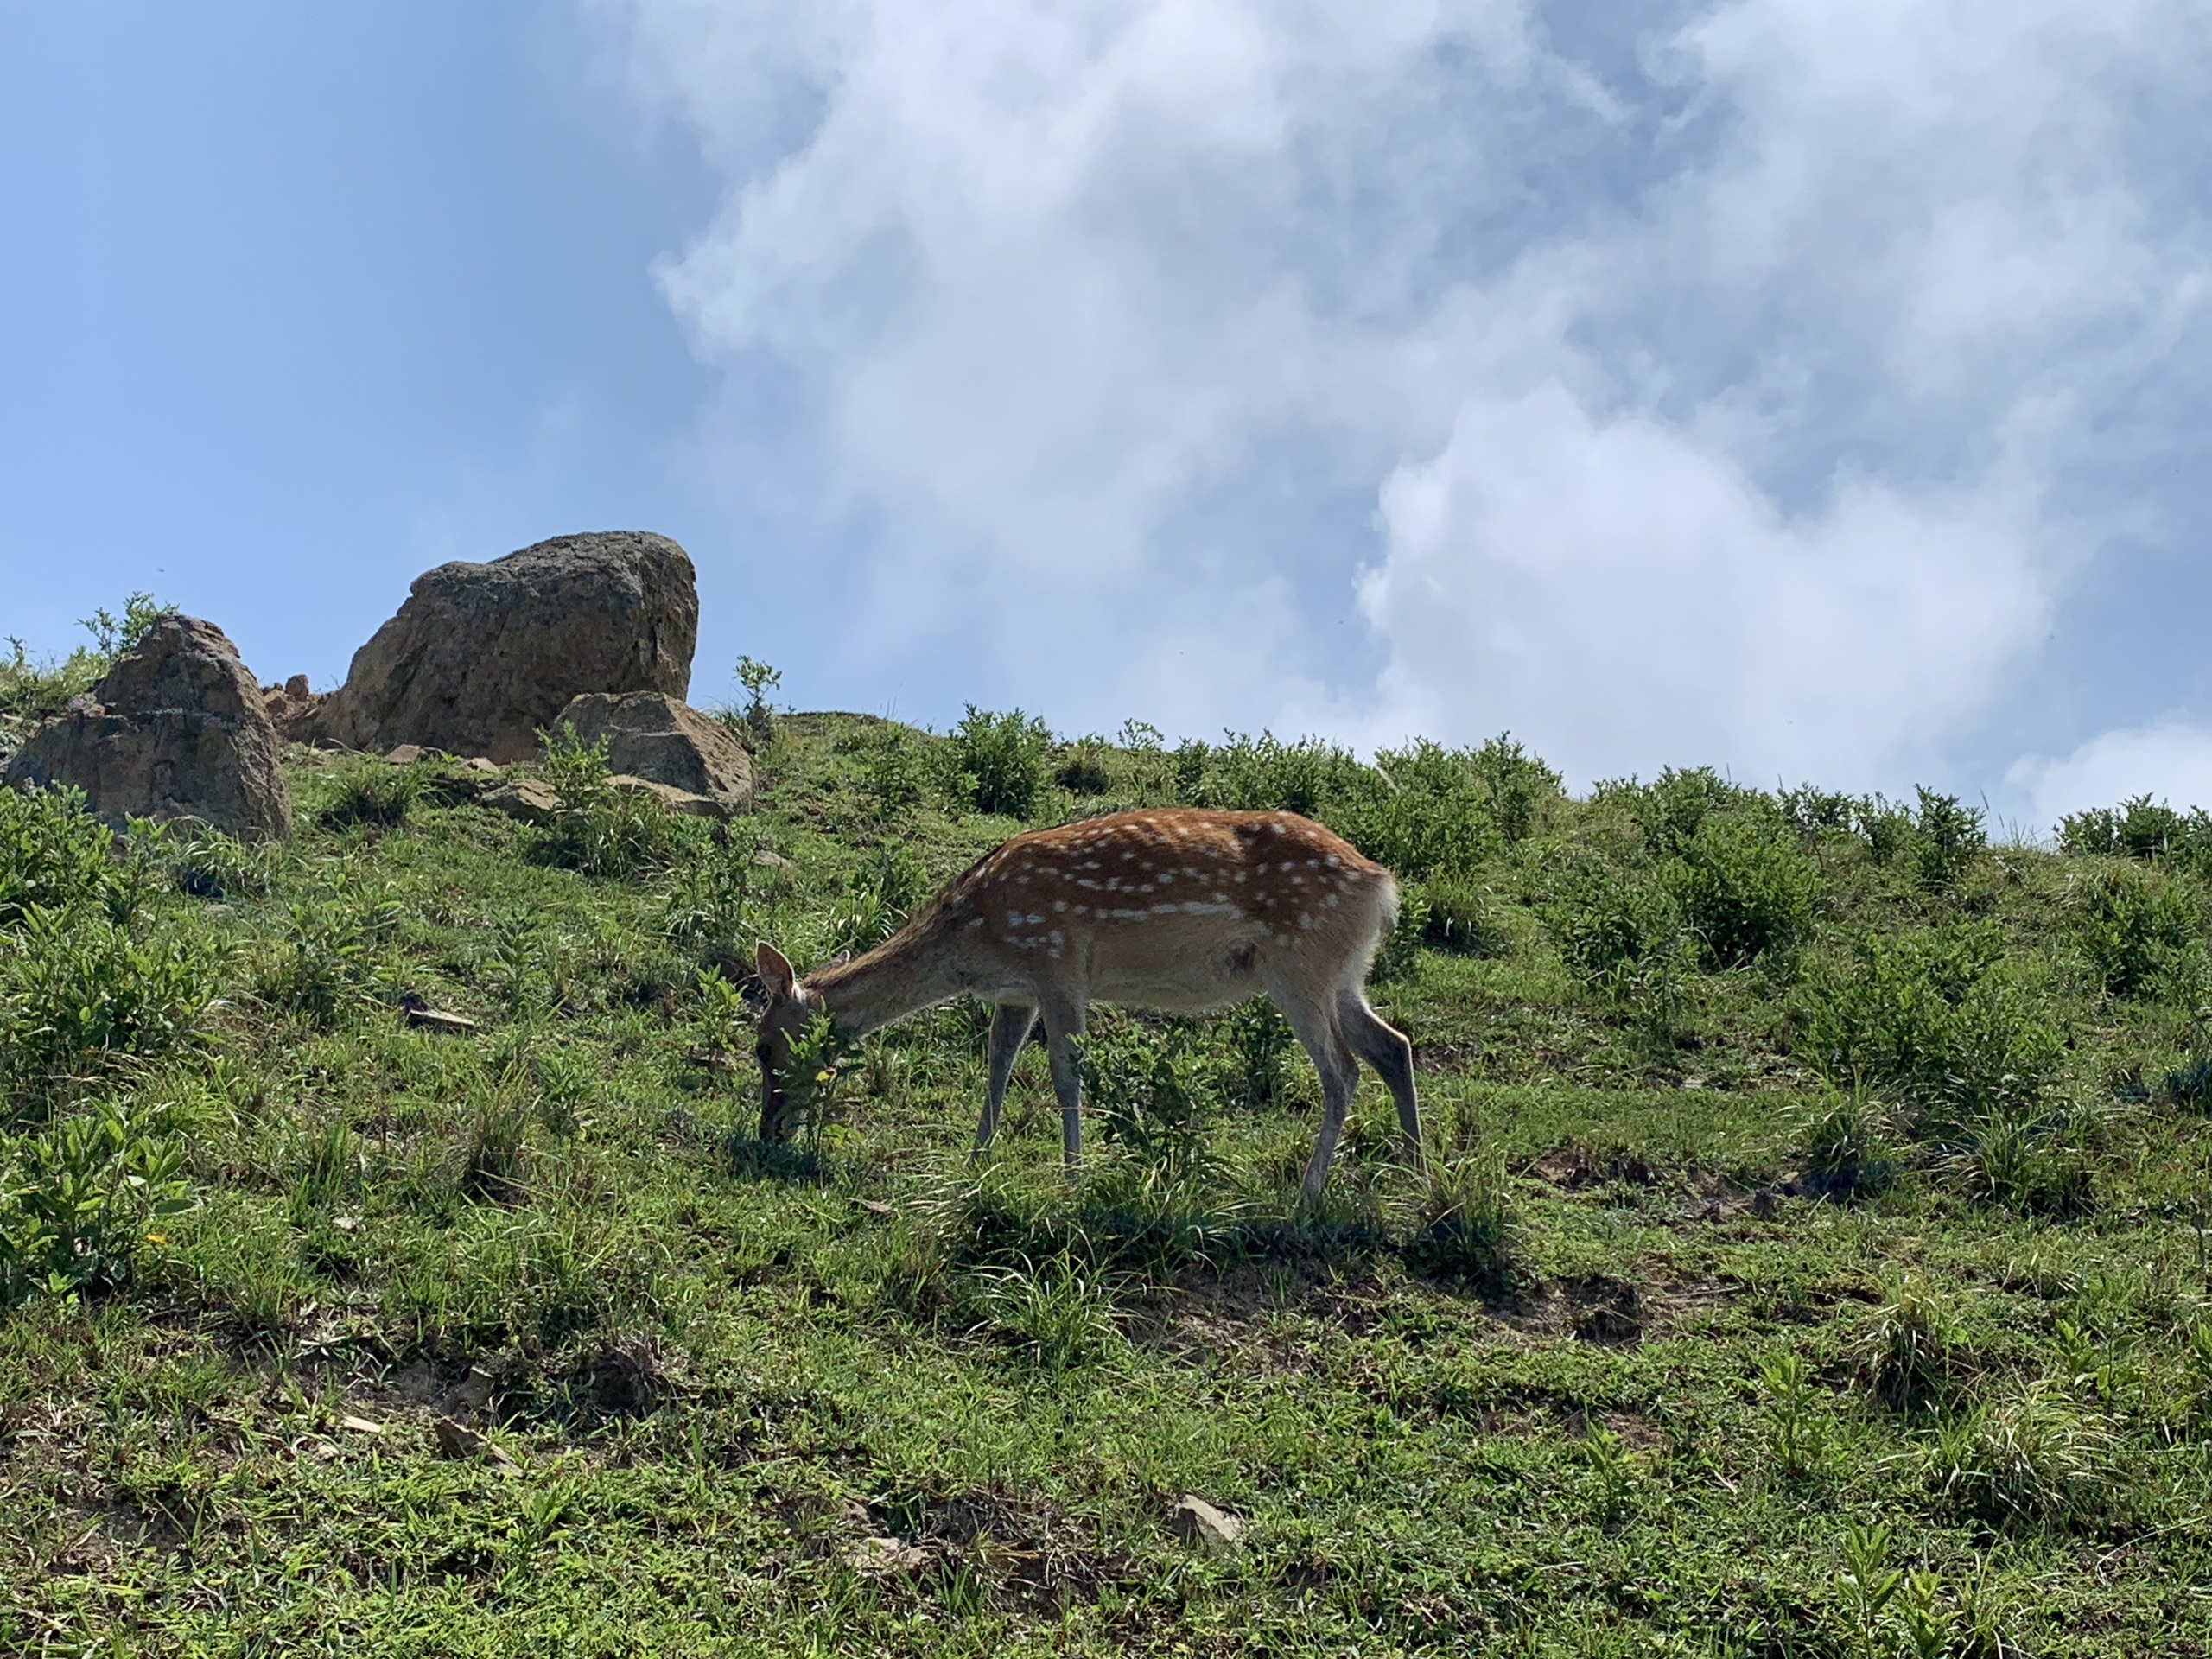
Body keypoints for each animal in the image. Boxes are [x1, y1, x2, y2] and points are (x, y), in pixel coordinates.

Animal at [752, 809, 1424, 1211]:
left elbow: (1065, 1075)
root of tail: (1382, 886)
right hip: (1345, 973)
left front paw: (1073, 1179)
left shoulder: (1058, 964)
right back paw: (1416, 1177)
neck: (972, 939)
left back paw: (1307, 1197)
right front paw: (974, 1166)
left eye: (762, 1046)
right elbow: (996, 1072)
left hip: (1299, 963)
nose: (768, 1131)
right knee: (1393, 1045)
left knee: (1343, 1069)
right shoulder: (1017, 993)